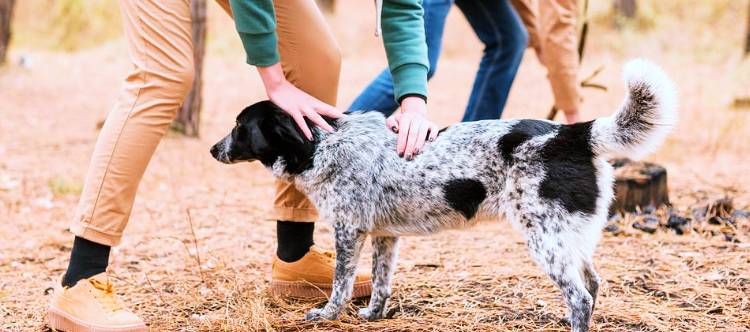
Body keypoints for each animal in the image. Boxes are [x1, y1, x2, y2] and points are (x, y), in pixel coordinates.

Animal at [210, 59, 676, 332]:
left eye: (238, 127)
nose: (214, 149)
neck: (322, 144)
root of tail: (573, 134)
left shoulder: (349, 231)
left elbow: (340, 286)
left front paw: (327, 316)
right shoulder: (384, 236)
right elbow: (380, 284)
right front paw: (374, 316)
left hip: (544, 237)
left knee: (580, 294)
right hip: (569, 237)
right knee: (592, 284)